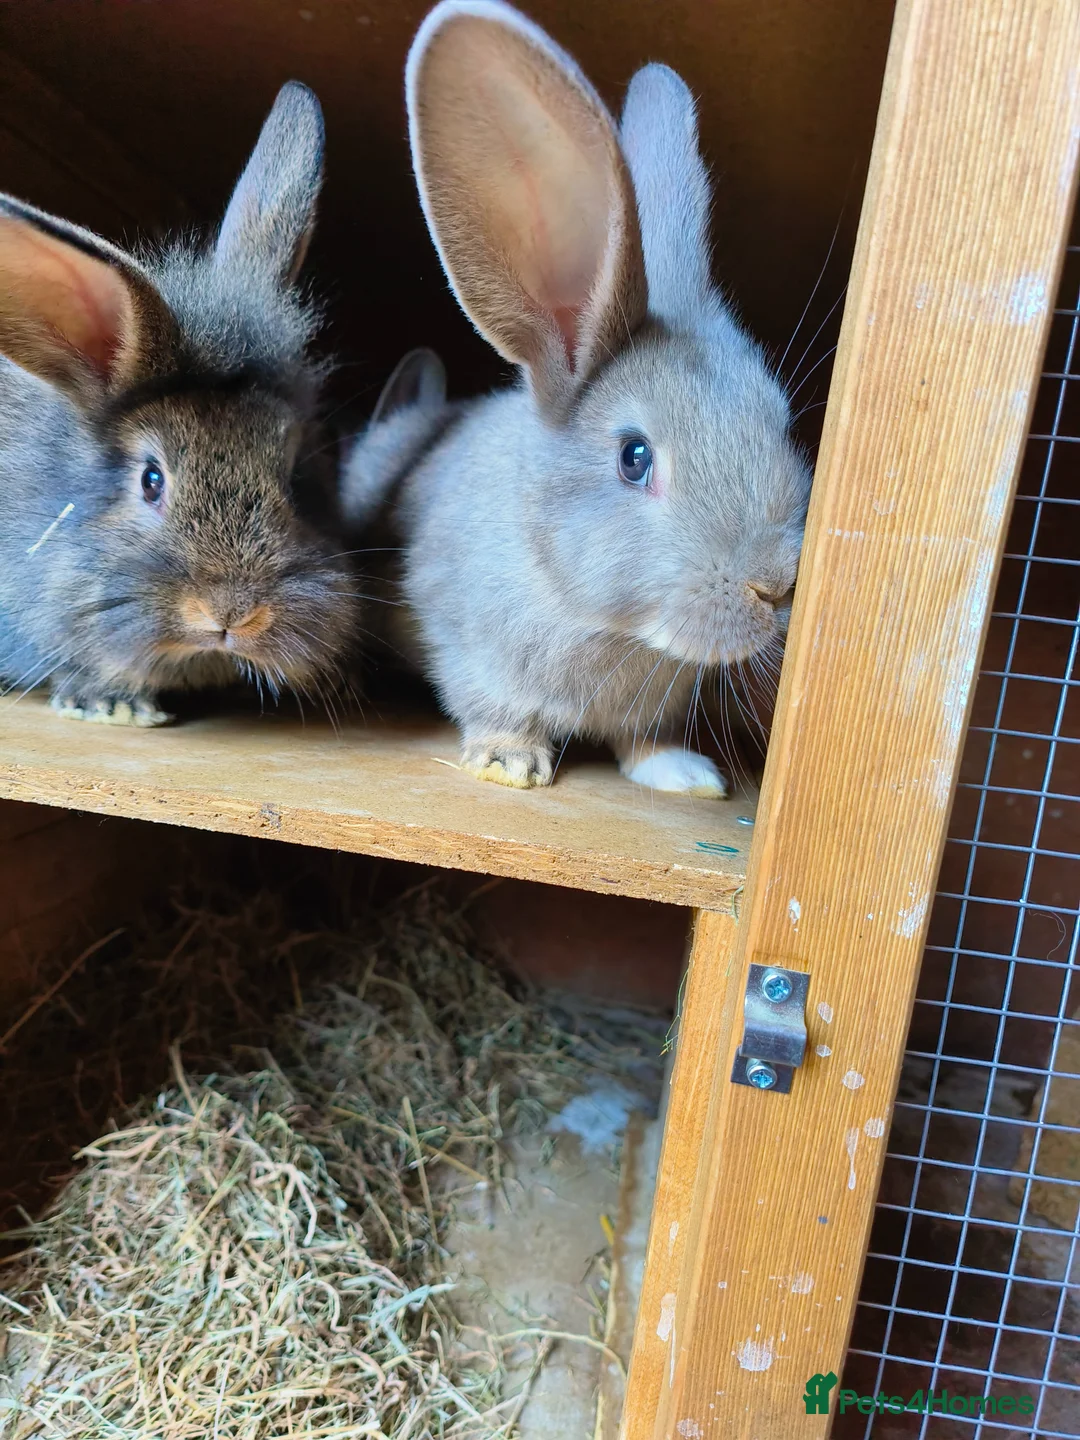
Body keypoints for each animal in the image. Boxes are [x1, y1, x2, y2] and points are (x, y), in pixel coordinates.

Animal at [346, 0, 811, 794]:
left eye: (780, 423)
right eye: (634, 457)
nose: (775, 588)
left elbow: (645, 738)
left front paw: (687, 776)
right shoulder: (467, 645)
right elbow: (492, 706)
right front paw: (509, 763)